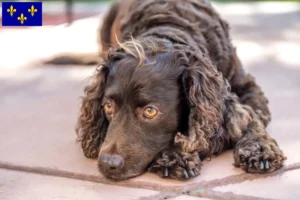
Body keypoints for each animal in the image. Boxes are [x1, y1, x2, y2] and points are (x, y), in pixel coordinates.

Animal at [62, 0, 286, 180]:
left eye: (150, 111)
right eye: (108, 106)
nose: (108, 164)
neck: (169, 28)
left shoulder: (247, 88)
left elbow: (251, 117)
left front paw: (259, 149)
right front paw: (174, 155)